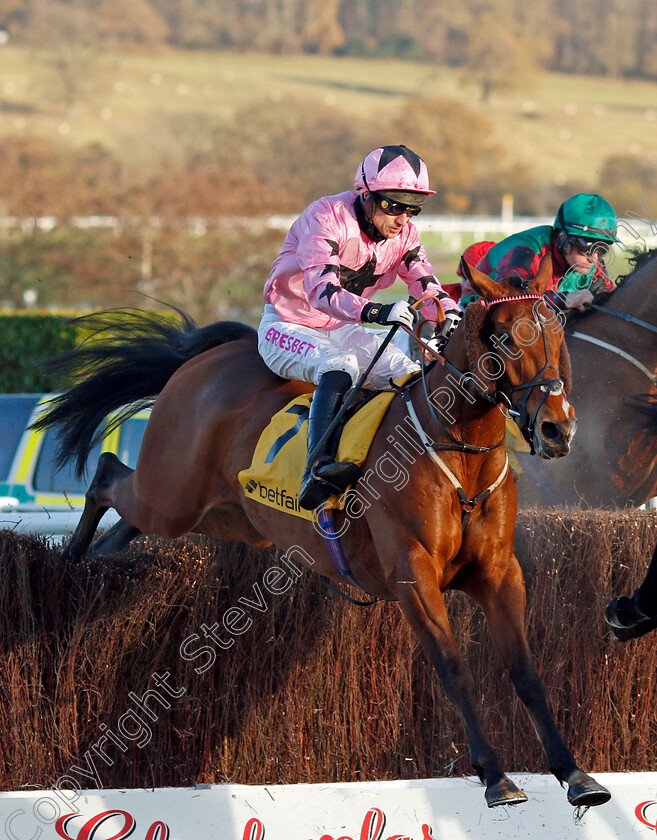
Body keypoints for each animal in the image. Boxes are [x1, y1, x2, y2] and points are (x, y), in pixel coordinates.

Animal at [34, 258, 608, 808]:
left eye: (557, 332)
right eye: (507, 337)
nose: (558, 428)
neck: (458, 455)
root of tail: (206, 359)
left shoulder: (498, 572)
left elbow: (526, 671)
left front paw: (576, 774)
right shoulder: (413, 573)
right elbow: (453, 666)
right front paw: (494, 776)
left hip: (226, 514)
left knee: (127, 512)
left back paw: (101, 556)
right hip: (171, 494)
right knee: (107, 474)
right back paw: (71, 559)